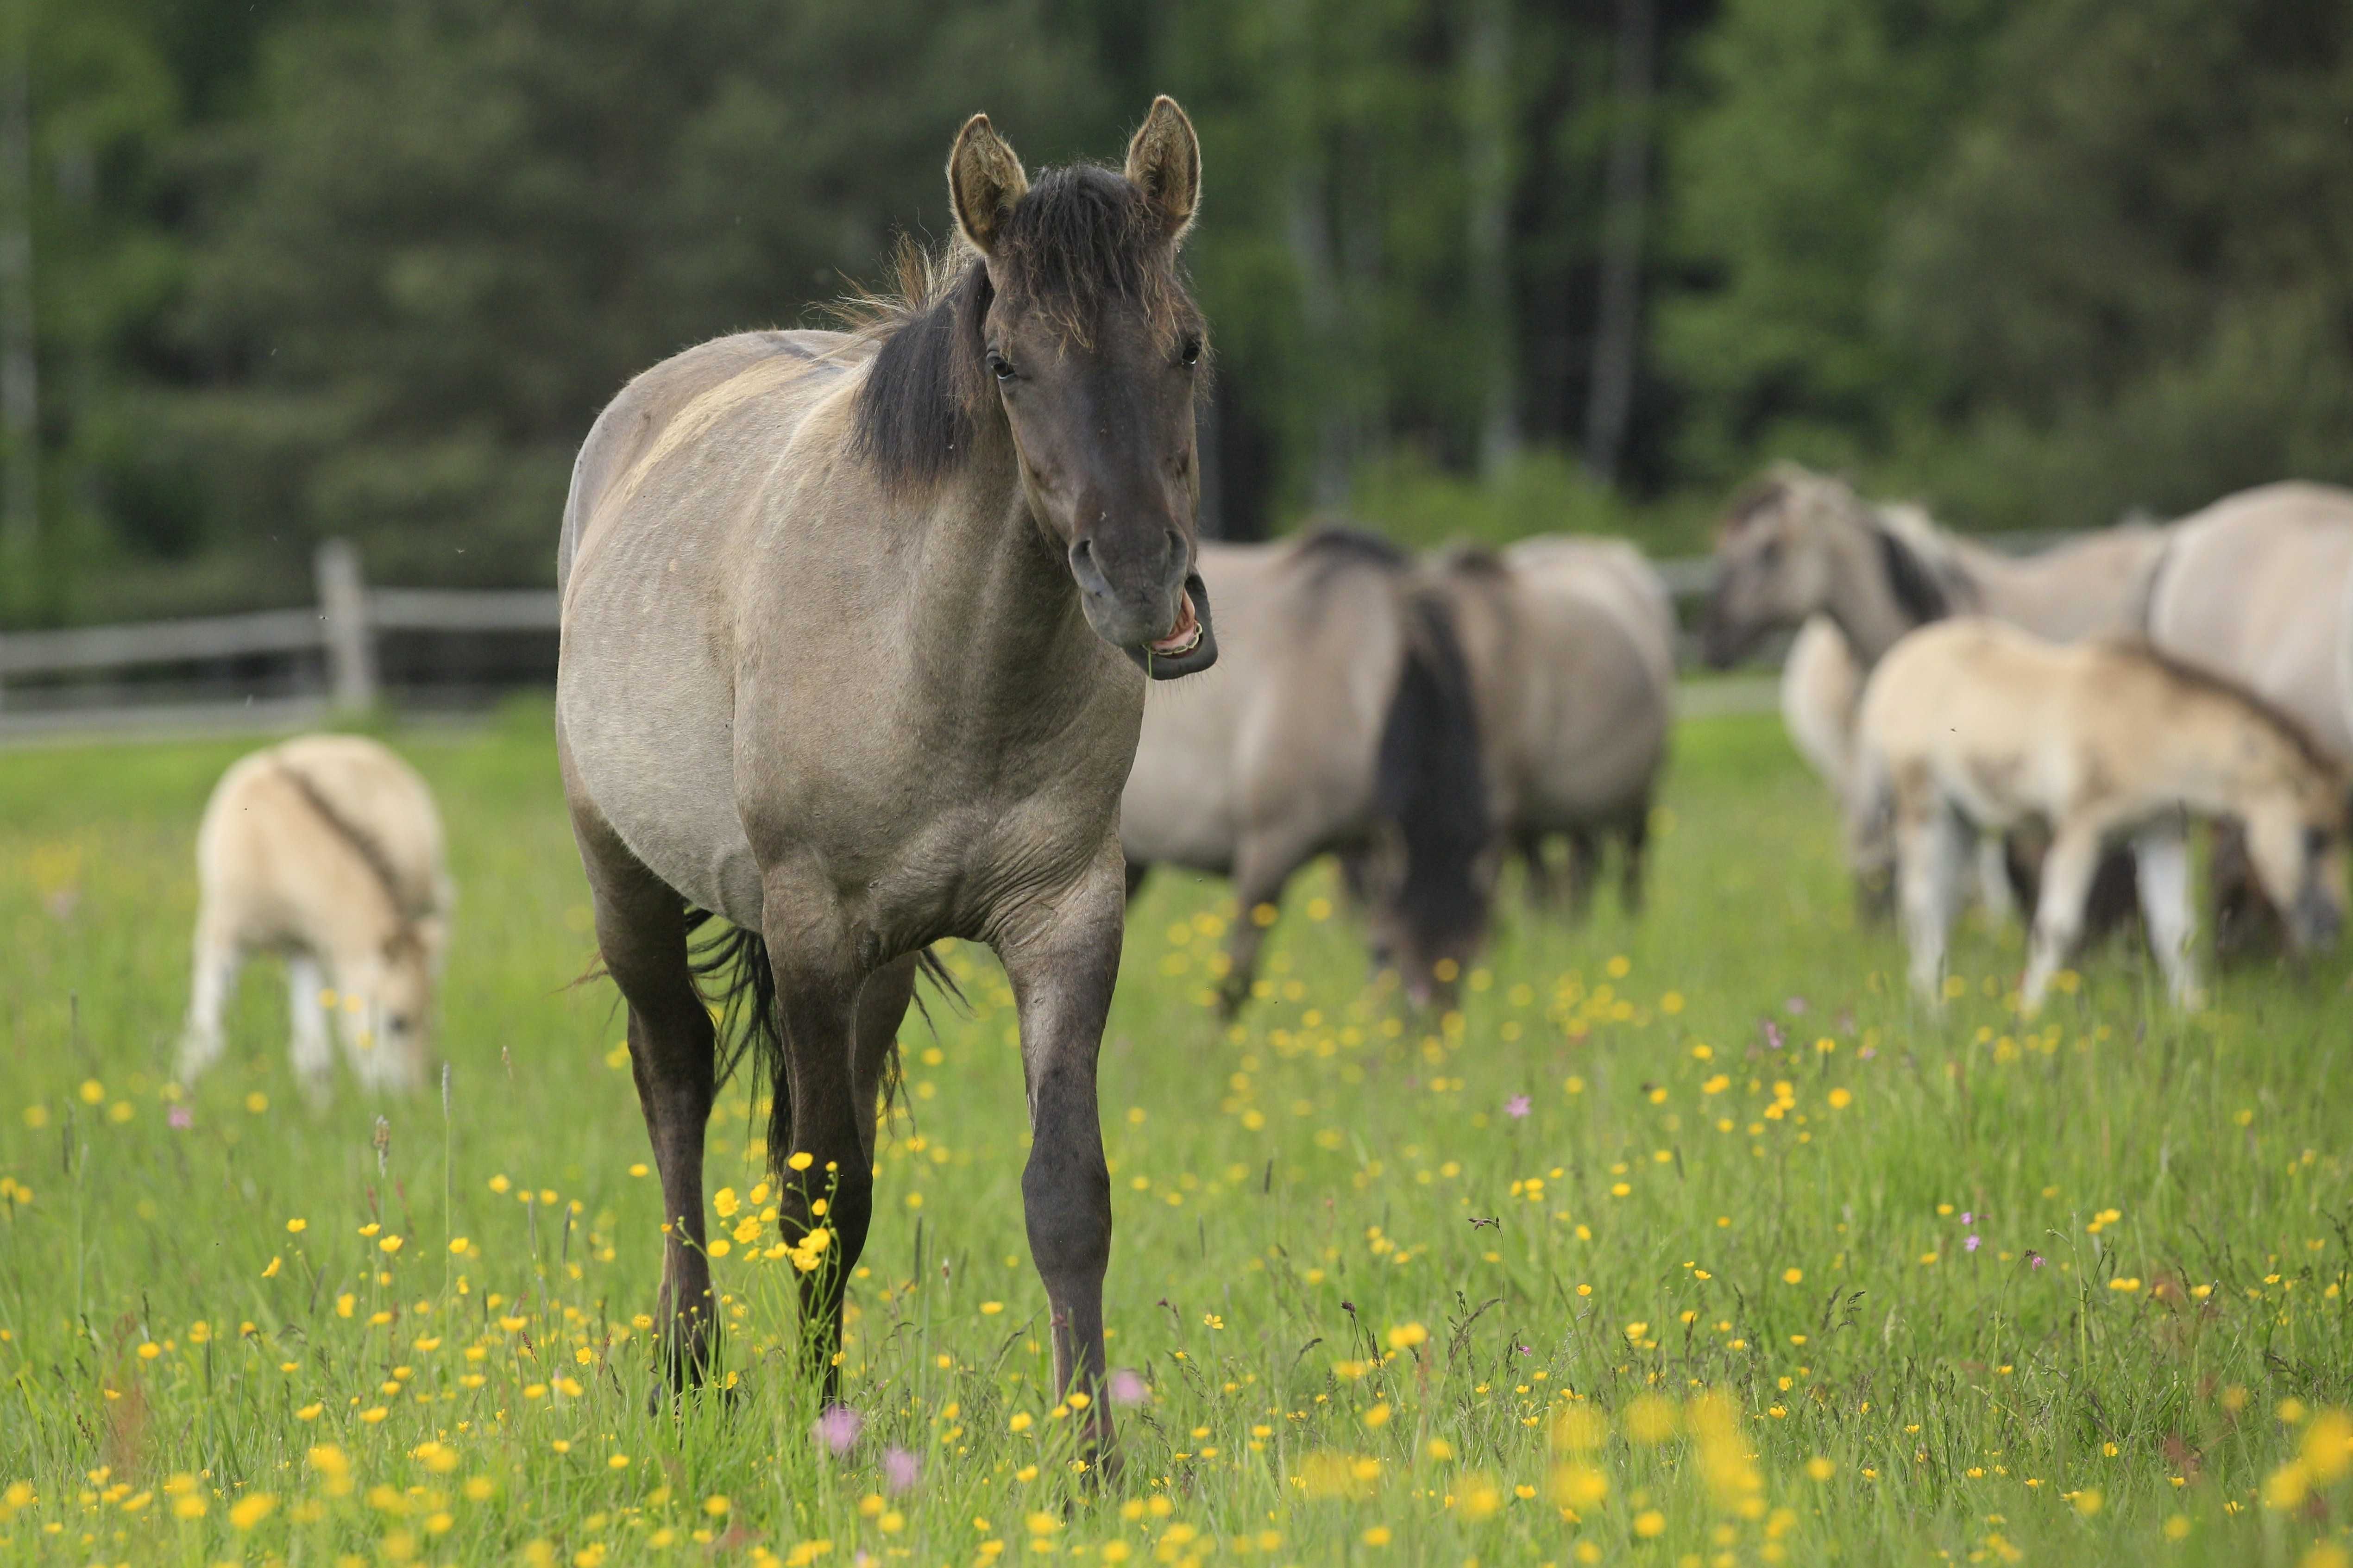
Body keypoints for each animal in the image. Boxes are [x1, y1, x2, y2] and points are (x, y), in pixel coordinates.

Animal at [179, 738, 449, 1100]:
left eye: (426, 1021)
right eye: (397, 1022)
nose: (413, 1097)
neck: (270, 852)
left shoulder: (305, 951)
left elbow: (312, 1057)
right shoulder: (226, 938)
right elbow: (204, 1039)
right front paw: (181, 1096)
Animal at [550, 101, 1214, 1457]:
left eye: (1184, 345)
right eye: (1009, 364)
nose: (1136, 579)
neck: (942, 656)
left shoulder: (1066, 919)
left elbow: (1064, 1196)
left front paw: (1092, 1464)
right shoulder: (811, 929)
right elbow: (821, 1195)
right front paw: (825, 1437)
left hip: (885, 968)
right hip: (628, 884)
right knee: (675, 1081)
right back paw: (689, 1366)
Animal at [1120, 533, 1487, 1010]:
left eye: (1471, 957)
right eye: (1389, 947)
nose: (1429, 1027)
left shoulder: (1363, 848)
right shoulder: (1268, 850)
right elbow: (1235, 982)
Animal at [1844, 621, 2343, 1010]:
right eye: (2314, 836)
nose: (2326, 931)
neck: (2147, 726)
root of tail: (1893, 669)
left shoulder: (2161, 832)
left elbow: (2176, 929)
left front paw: (2191, 1015)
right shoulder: (2080, 829)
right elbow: (2057, 926)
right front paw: (2030, 1013)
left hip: (1961, 817)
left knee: (1941, 904)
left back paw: (1932, 996)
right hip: (1922, 807)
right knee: (1921, 903)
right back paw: (1931, 1006)